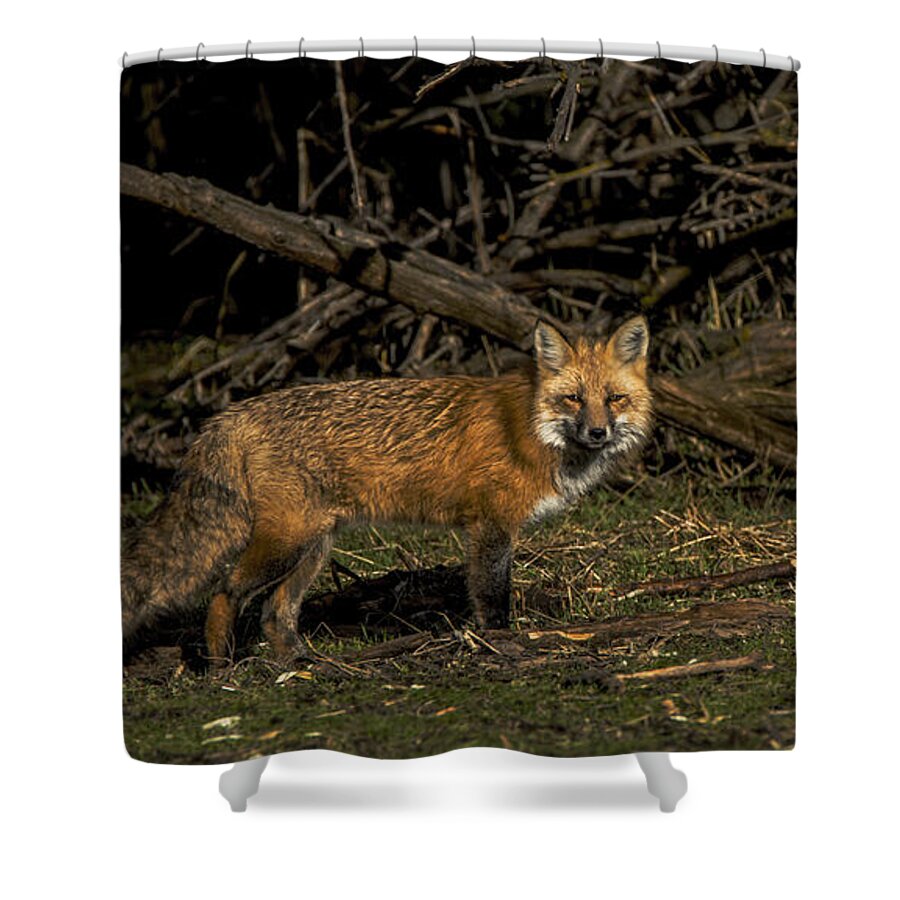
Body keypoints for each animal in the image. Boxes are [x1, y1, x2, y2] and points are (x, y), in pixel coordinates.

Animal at [121, 316, 652, 663]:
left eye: (614, 399)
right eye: (573, 399)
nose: (598, 433)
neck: (530, 427)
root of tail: (232, 412)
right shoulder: (491, 525)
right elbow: (492, 593)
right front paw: (501, 644)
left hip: (313, 548)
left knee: (276, 612)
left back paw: (300, 664)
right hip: (286, 542)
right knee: (225, 590)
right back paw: (221, 665)